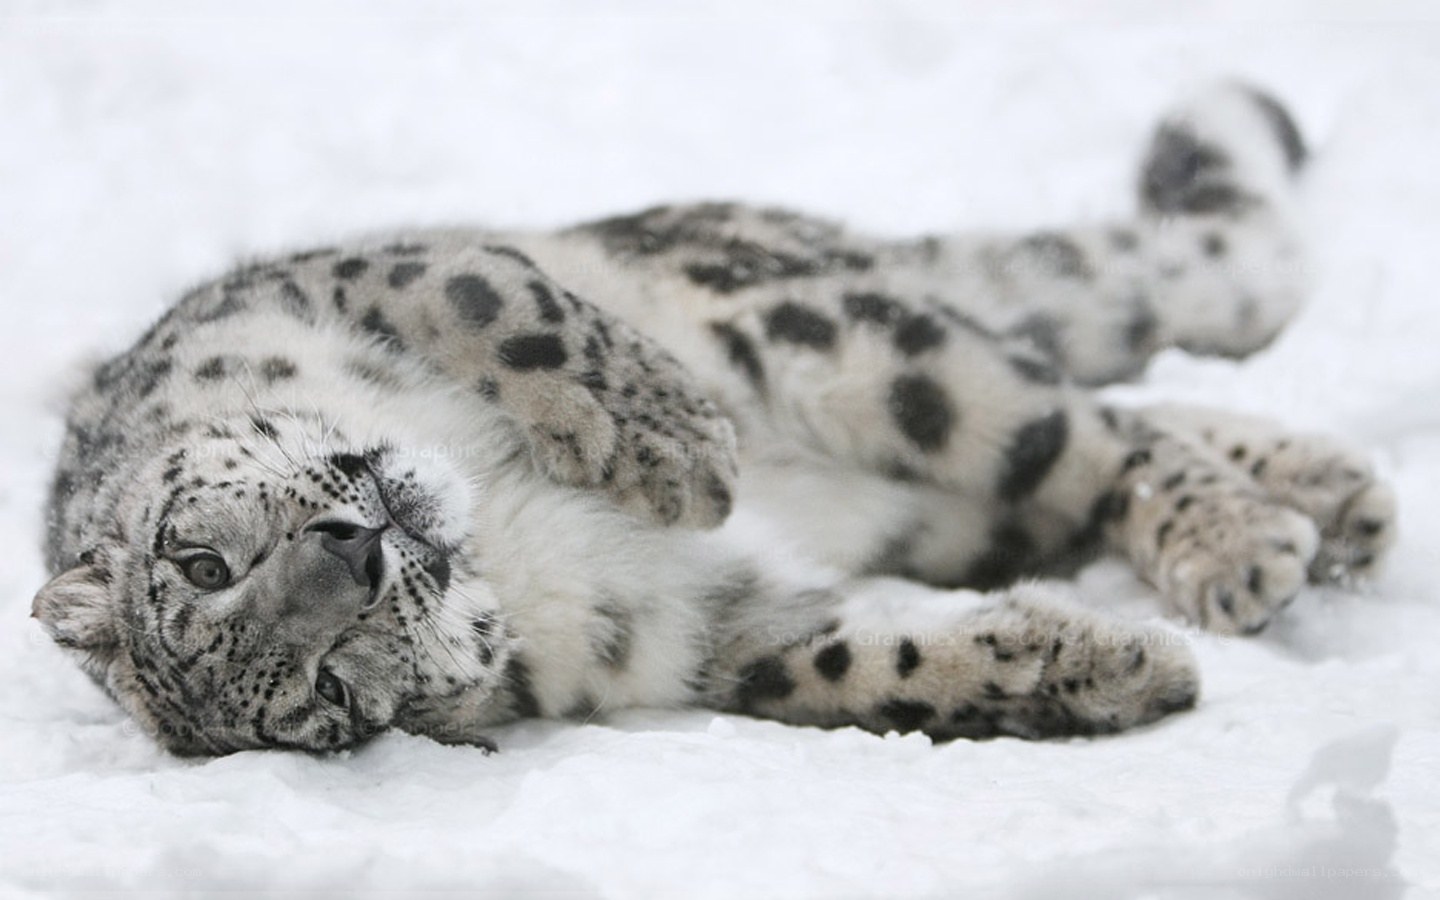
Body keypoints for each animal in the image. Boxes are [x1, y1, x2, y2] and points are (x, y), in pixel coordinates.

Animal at [32, 83, 1395, 756]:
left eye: (199, 561)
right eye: (324, 697)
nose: (358, 550)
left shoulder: (341, 278)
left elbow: (495, 299)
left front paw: (661, 441)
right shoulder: (705, 628)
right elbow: (861, 665)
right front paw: (1087, 666)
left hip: (837, 338)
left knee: (1087, 421)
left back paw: (1244, 536)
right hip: (955, 507)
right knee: (1096, 428)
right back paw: (1324, 505)